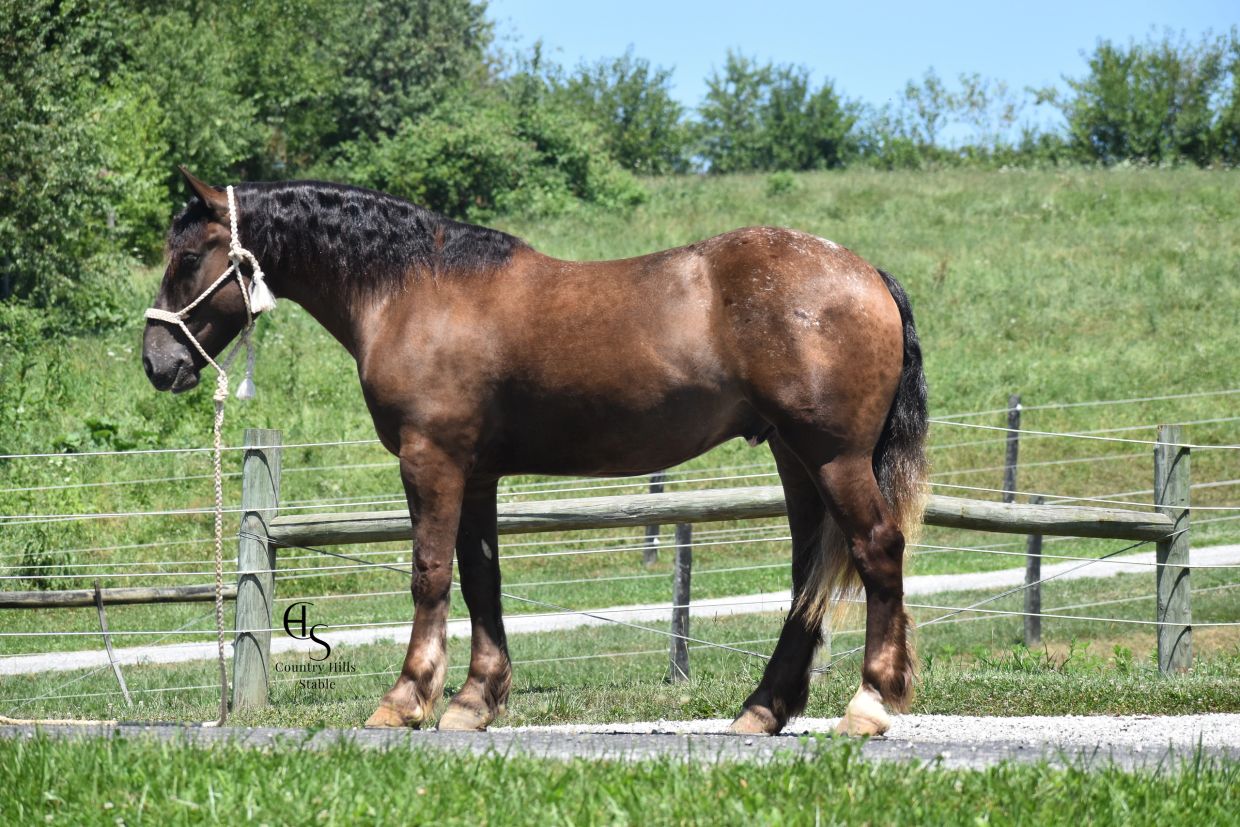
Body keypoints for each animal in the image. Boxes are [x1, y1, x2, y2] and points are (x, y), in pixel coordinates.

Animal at [142, 168, 928, 737]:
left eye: (189, 257)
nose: (156, 362)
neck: (415, 291)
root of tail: (866, 273)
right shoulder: (477, 473)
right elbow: (482, 579)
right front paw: (473, 701)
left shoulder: (430, 460)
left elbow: (430, 575)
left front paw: (406, 699)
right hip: (795, 459)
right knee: (808, 577)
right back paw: (763, 709)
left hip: (833, 458)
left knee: (878, 550)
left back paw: (869, 704)